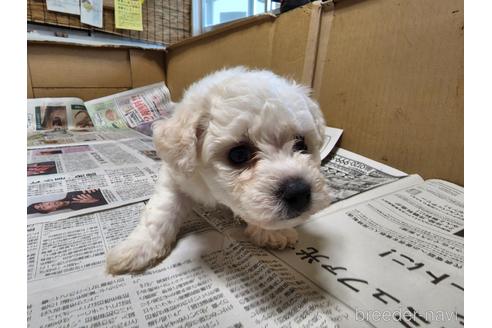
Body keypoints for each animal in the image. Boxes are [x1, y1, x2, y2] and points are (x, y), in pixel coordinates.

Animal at [107, 66, 330, 274]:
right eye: (238, 155)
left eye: (301, 144)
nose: (298, 192)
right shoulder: (174, 176)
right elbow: (161, 210)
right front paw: (138, 247)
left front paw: (274, 232)